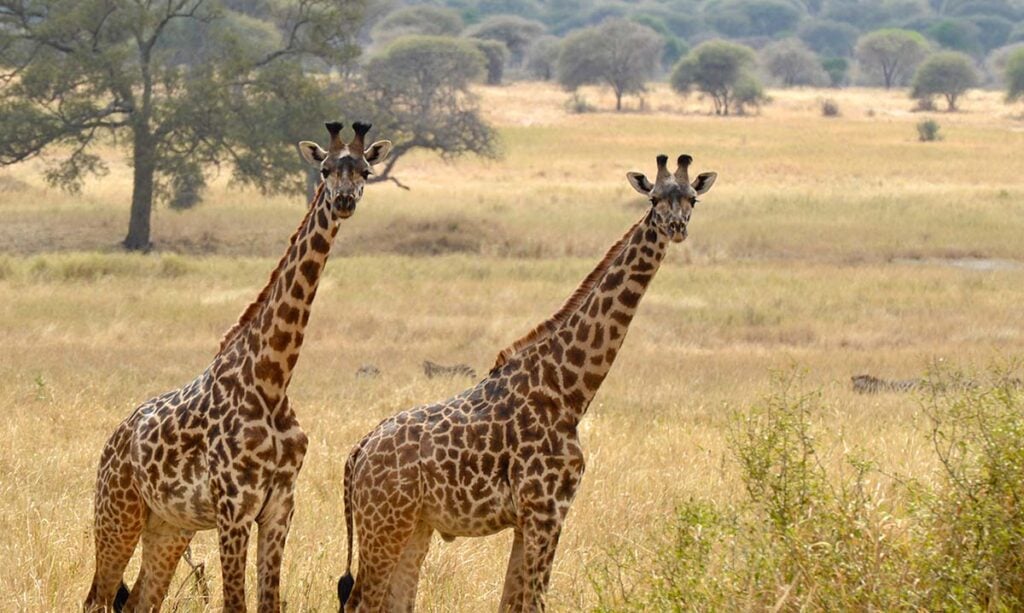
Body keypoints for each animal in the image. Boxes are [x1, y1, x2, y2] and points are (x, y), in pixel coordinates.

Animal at [81, 121, 393, 613]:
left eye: (365, 169)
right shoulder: (233, 509)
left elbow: (269, 602)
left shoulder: (280, 507)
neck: (272, 378)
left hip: (170, 526)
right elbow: (235, 604)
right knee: (96, 597)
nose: (344, 200)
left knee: (138, 601)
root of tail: (112, 441)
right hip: (117, 512)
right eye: (325, 169)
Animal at [335, 153, 720, 609]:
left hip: (414, 526)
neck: (570, 390)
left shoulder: (530, 518)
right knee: (361, 601)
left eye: (693, 198)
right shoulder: (545, 509)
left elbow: (511, 602)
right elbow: (534, 602)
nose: (676, 227)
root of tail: (357, 454)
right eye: (655, 198)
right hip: (384, 524)